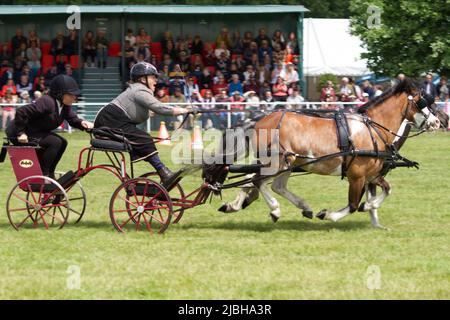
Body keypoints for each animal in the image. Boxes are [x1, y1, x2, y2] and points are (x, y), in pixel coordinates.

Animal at [218, 79, 442, 229]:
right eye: (423, 102)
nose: (438, 122)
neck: (373, 129)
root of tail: (259, 121)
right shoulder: (357, 176)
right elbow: (353, 205)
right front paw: (328, 214)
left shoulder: (373, 175)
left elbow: (386, 190)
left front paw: (374, 217)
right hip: (276, 162)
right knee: (258, 181)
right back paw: (274, 210)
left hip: (288, 163)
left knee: (272, 184)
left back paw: (302, 207)